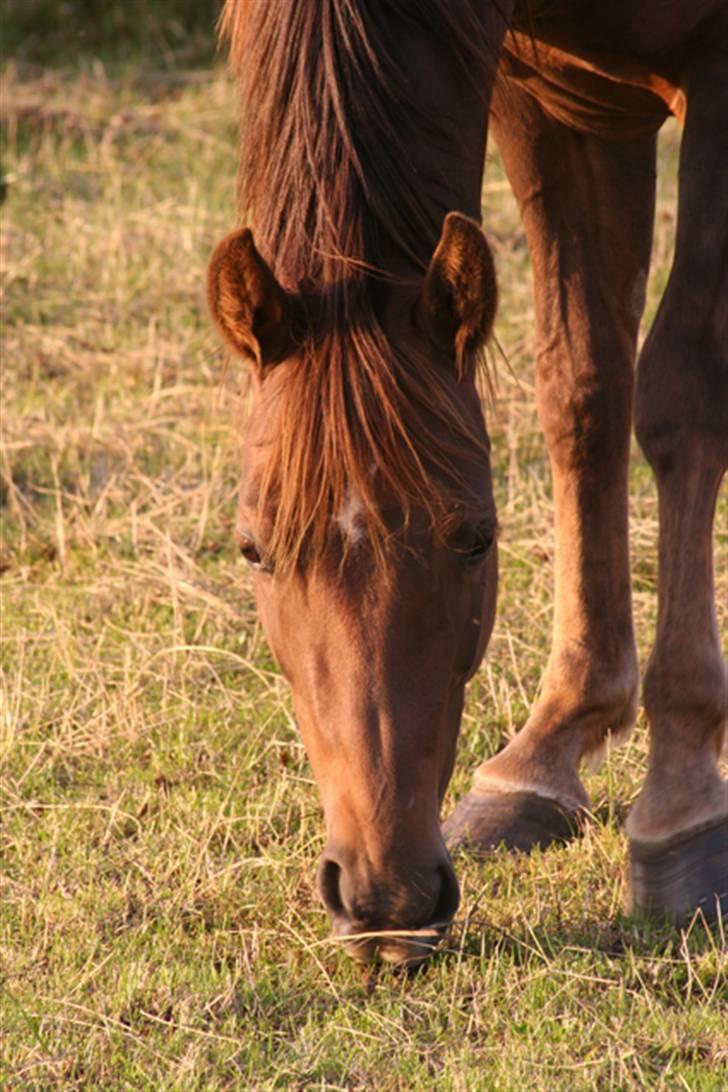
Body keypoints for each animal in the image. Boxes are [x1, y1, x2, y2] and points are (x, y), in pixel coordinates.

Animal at [206, 0, 728, 960]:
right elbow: (583, 381)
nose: (385, 897)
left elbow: (685, 393)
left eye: (477, 537)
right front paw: (547, 749)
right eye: (254, 550)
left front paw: (682, 803)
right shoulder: (553, 94)